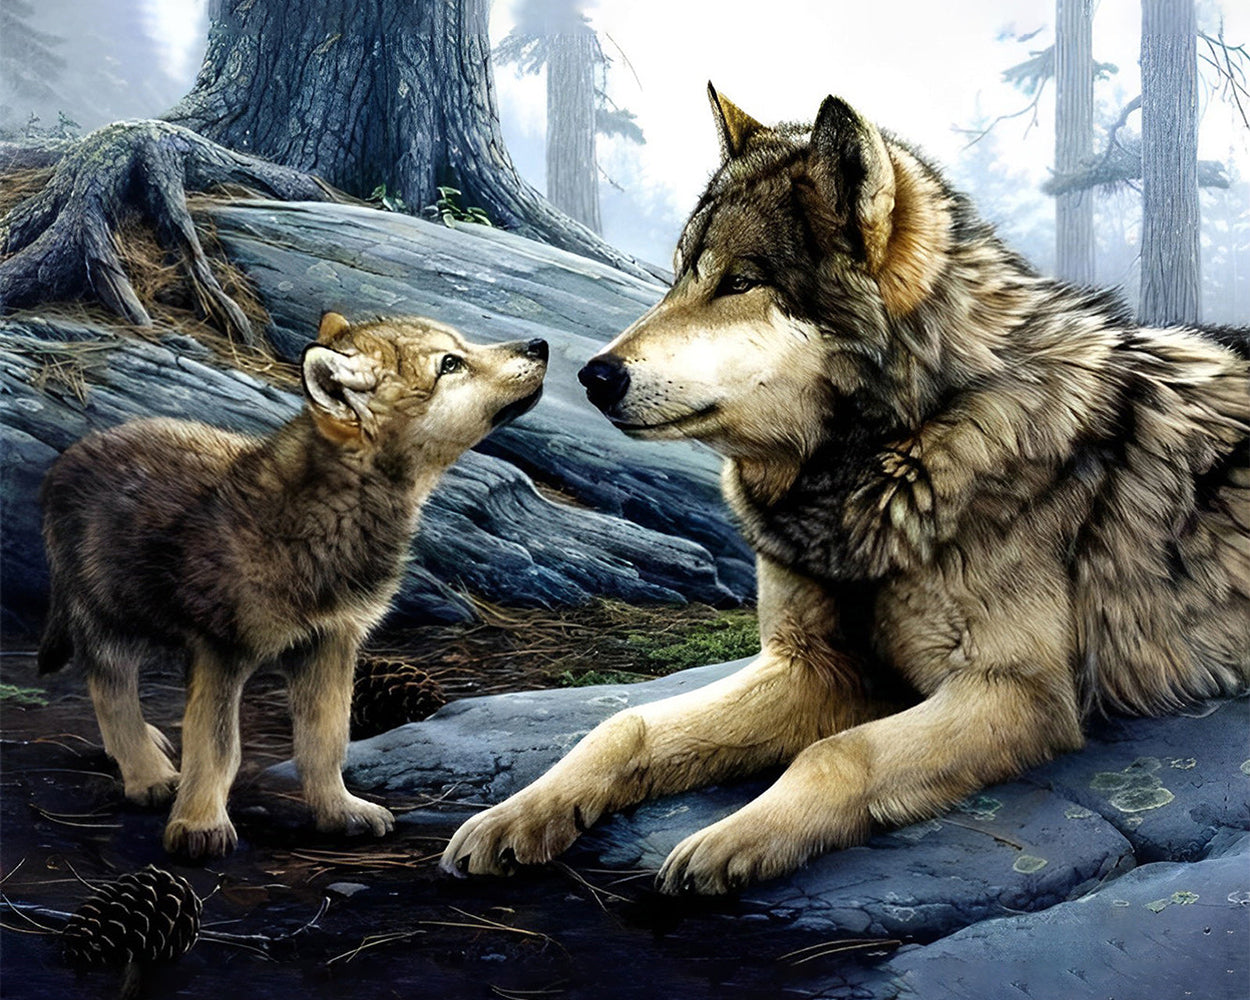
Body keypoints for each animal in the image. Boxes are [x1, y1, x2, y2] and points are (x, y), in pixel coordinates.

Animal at [40, 313, 547, 858]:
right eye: (450, 364)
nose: (540, 345)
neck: (331, 512)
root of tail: (72, 454)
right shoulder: (222, 650)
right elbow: (216, 746)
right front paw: (199, 825)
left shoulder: (332, 641)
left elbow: (324, 740)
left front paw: (339, 811)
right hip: (110, 618)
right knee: (110, 691)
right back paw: (148, 774)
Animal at [442, 86, 1250, 894]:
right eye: (678, 278)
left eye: (739, 282)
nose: (592, 375)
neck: (892, 457)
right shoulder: (811, 665)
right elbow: (625, 725)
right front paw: (518, 814)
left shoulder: (1017, 692)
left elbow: (837, 751)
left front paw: (731, 841)